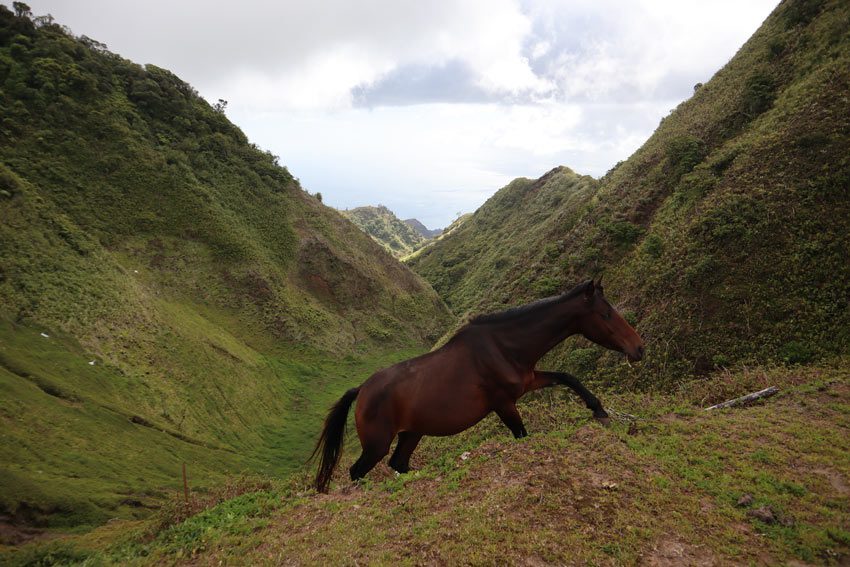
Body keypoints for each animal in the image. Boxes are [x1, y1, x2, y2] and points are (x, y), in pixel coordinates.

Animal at [312, 278, 644, 492]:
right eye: (606, 314)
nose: (638, 348)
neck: (503, 347)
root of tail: (362, 390)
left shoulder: (528, 382)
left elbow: (566, 377)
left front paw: (599, 410)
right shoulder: (504, 404)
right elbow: (521, 435)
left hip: (412, 433)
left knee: (399, 463)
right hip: (377, 444)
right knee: (357, 471)